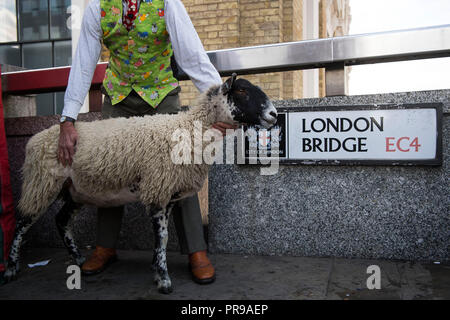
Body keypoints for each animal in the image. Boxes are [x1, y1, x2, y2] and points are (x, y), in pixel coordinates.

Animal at [4, 74, 278, 294]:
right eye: (242, 91)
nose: (274, 115)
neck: (189, 129)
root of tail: (35, 139)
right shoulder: (157, 187)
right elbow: (163, 237)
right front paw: (164, 280)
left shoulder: (169, 192)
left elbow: (162, 239)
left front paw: (157, 269)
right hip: (41, 181)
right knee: (22, 222)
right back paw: (11, 268)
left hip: (73, 189)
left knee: (61, 220)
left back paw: (79, 259)